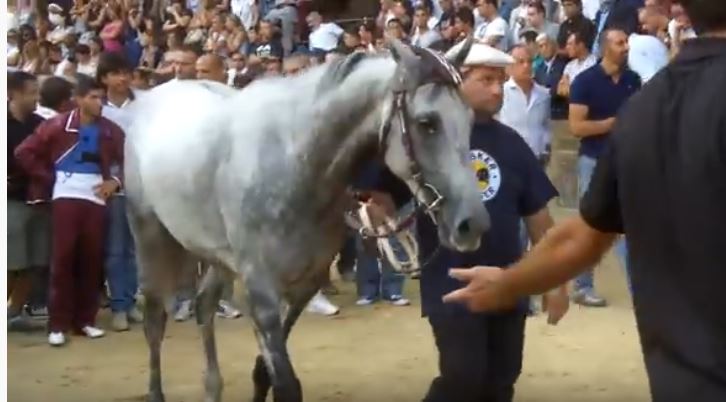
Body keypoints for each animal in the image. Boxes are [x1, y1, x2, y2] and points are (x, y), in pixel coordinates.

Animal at [124, 38, 490, 402]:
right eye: (428, 122)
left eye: (470, 118)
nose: (472, 224)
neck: (296, 162)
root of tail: (149, 97)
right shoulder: (262, 291)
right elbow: (286, 384)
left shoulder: (304, 285)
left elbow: (265, 372)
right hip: (150, 237)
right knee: (155, 320)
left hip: (216, 253)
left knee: (204, 304)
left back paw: (212, 387)